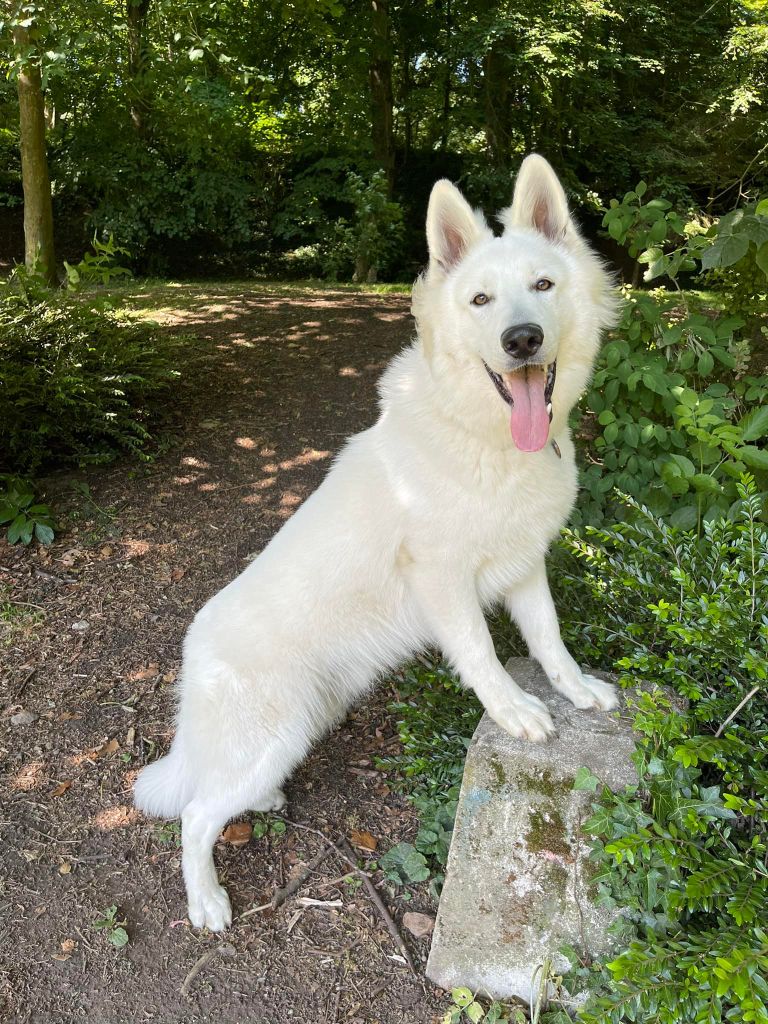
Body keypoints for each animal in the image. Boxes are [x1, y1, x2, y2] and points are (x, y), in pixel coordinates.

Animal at [135, 155, 622, 933]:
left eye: (544, 286)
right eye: (481, 300)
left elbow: (550, 640)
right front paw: (515, 710)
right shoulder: (444, 582)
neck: (480, 434)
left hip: (299, 728)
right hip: (273, 735)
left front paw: (577, 691)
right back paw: (206, 900)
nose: (521, 339)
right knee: (195, 815)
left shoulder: (525, 567)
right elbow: (484, 657)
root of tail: (193, 657)